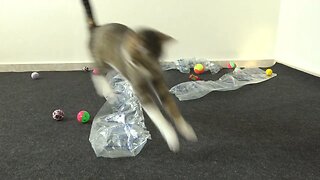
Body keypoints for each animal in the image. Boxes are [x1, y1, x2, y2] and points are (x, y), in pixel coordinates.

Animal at [81, 0, 196, 152]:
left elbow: (172, 107)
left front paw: (185, 129)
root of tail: (96, 28)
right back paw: (106, 90)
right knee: (96, 72)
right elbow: (158, 116)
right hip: (102, 61)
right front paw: (171, 136)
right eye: (141, 61)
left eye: (159, 58)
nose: (154, 71)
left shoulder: (159, 83)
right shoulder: (142, 92)